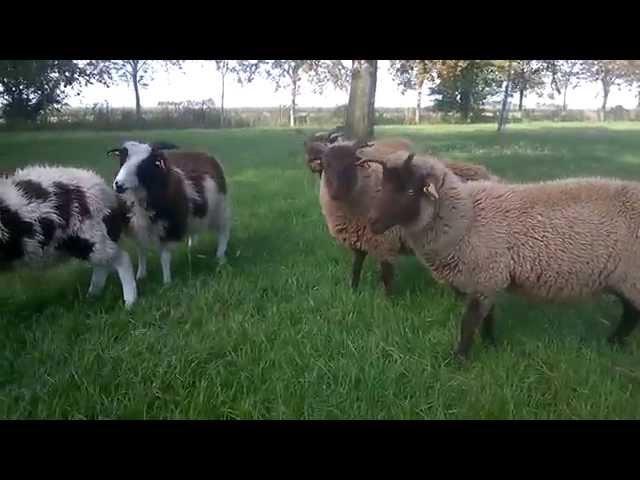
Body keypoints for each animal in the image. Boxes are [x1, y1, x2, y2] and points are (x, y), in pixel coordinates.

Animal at [0, 165, 138, 308]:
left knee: (122, 259)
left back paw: (129, 303)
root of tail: (106, 191)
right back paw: (91, 296)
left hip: (91, 234)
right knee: (102, 266)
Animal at [109, 141, 230, 284]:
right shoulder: (137, 229)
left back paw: (220, 257)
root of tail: (202, 153)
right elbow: (142, 253)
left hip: (220, 210)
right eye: (122, 160)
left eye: (145, 164)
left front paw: (167, 282)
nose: (118, 184)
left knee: (224, 232)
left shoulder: (170, 229)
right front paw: (140, 275)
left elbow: (165, 258)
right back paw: (192, 246)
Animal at [310, 141, 496, 294]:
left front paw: (388, 301)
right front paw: (353, 291)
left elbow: (386, 275)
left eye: (352, 164)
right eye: (326, 165)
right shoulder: (359, 240)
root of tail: (487, 174)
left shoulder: (385, 242)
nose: (337, 192)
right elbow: (356, 267)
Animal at [368, 152, 640, 358]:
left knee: (632, 312)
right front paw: (490, 345)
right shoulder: (490, 279)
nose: (372, 223)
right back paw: (613, 342)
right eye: (383, 186)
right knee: (630, 312)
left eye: (410, 191)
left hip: (632, 277)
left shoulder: (485, 275)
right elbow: (487, 317)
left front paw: (460, 359)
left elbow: (469, 322)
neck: (467, 218)